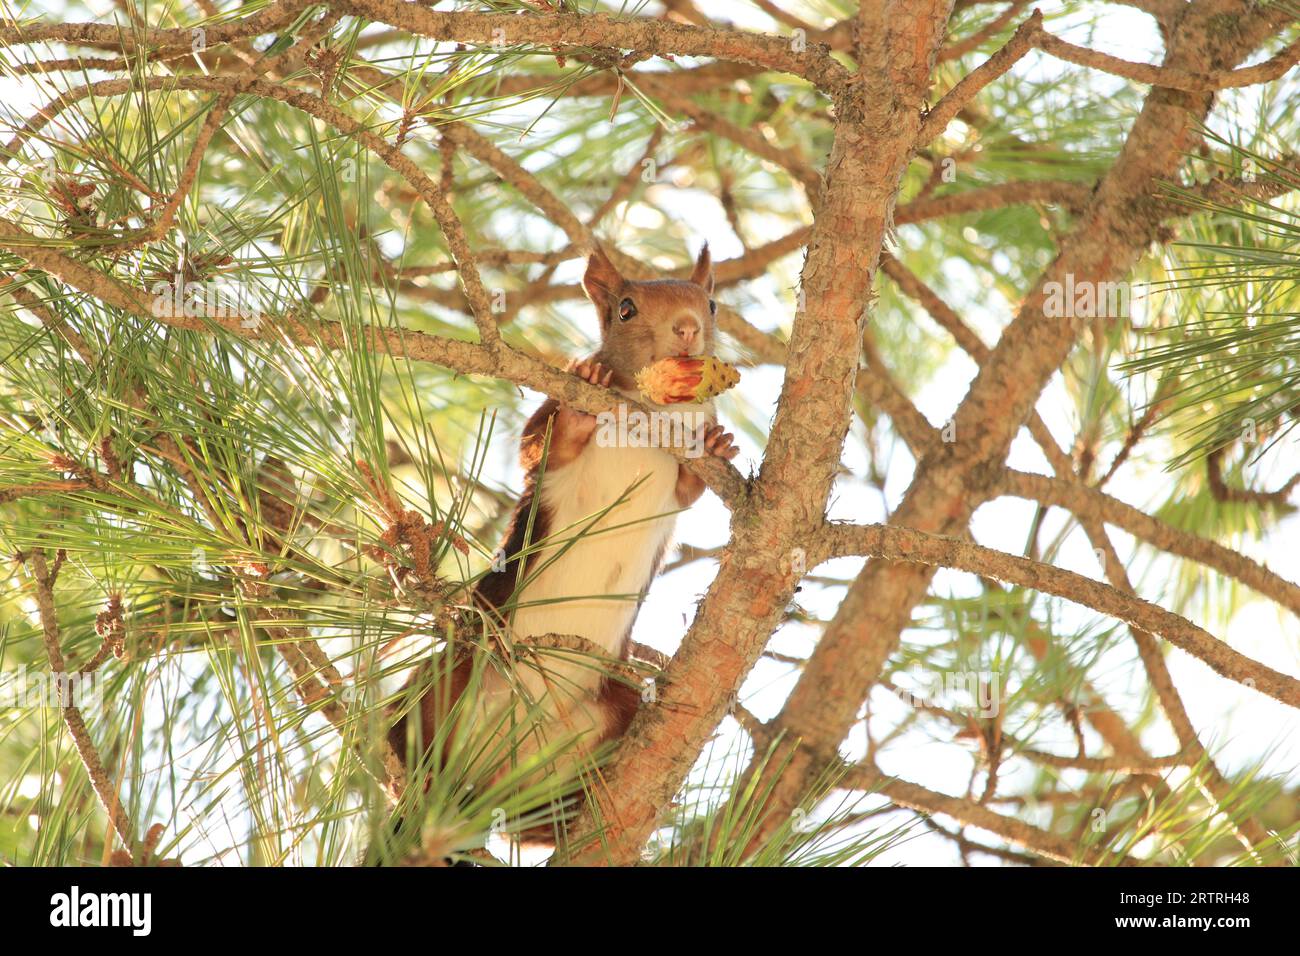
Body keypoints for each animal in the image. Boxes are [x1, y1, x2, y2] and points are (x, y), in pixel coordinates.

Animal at [386, 243, 737, 844]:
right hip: (457, 666)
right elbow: (539, 447)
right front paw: (578, 406)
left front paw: (713, 446)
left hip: (607, 712)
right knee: (406, 727)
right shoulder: (546, 446)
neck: (653, 410)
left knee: (530, 825)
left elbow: (687, 491)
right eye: (625, 309)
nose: (688, 327)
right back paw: (418, 773)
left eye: (711, 304)